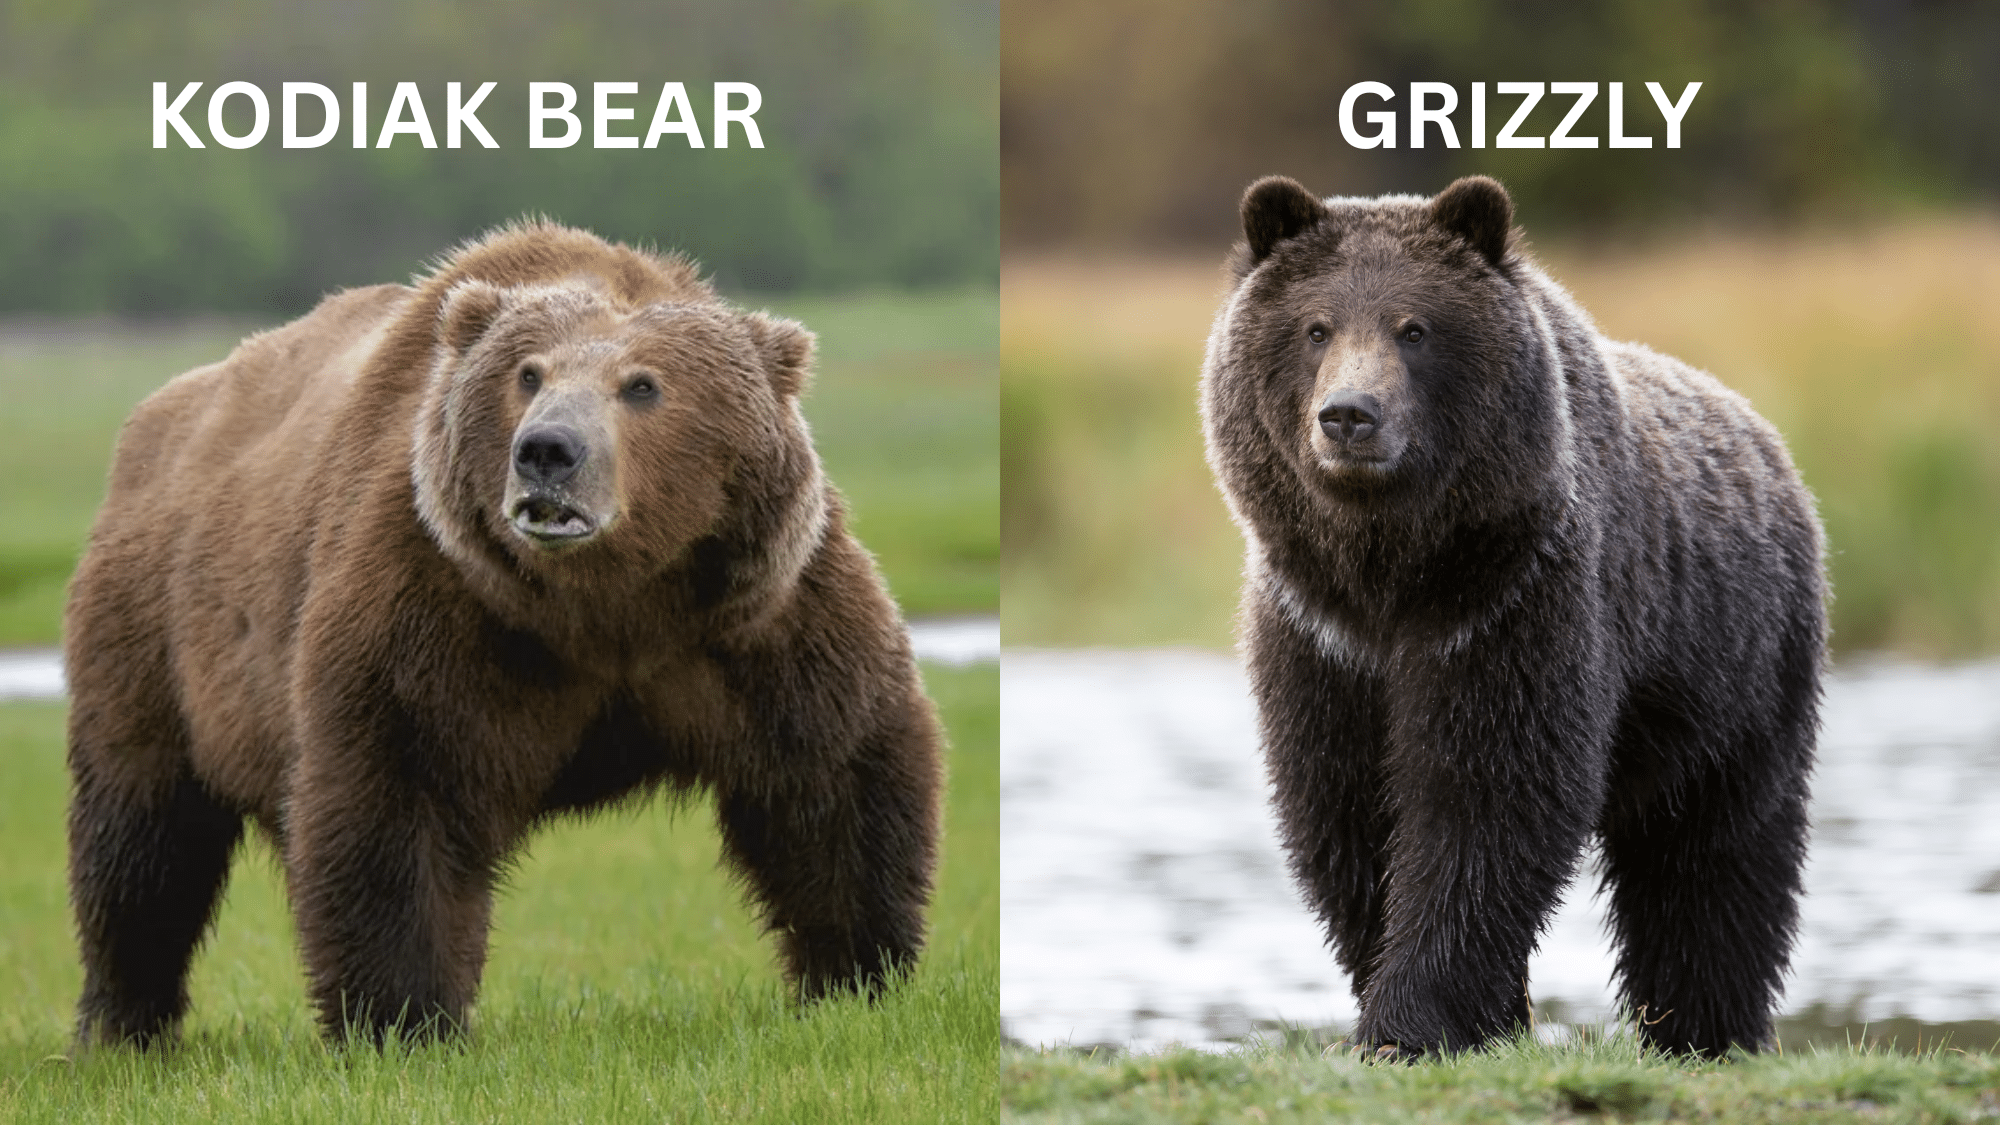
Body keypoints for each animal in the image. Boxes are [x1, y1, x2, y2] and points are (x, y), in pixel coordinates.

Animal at [63, 220, 943, 1046]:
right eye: (529, 373)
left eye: (643, 385)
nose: (547, 450)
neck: (607, 607)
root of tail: (154, 420)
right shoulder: (442, 605)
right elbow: (399, 795)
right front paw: (404, 1016)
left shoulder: (755, 614)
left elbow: (834, 776)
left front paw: (857, 973)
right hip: (155, 633)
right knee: (142, 838)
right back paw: (121, 1023)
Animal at [1200, 175, 1825, 1058]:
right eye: (1315, 327)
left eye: (1415, 328)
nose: (1349, 415)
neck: (1392, 572)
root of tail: (1767, 439)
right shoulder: (1319, 634)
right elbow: (1345, 808)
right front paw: (1465, 1013)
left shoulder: (1512, 602)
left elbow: (1487, 800)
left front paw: (1412, 1020)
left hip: (1737, 673)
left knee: (1714, 855)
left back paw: (1705, 1027)